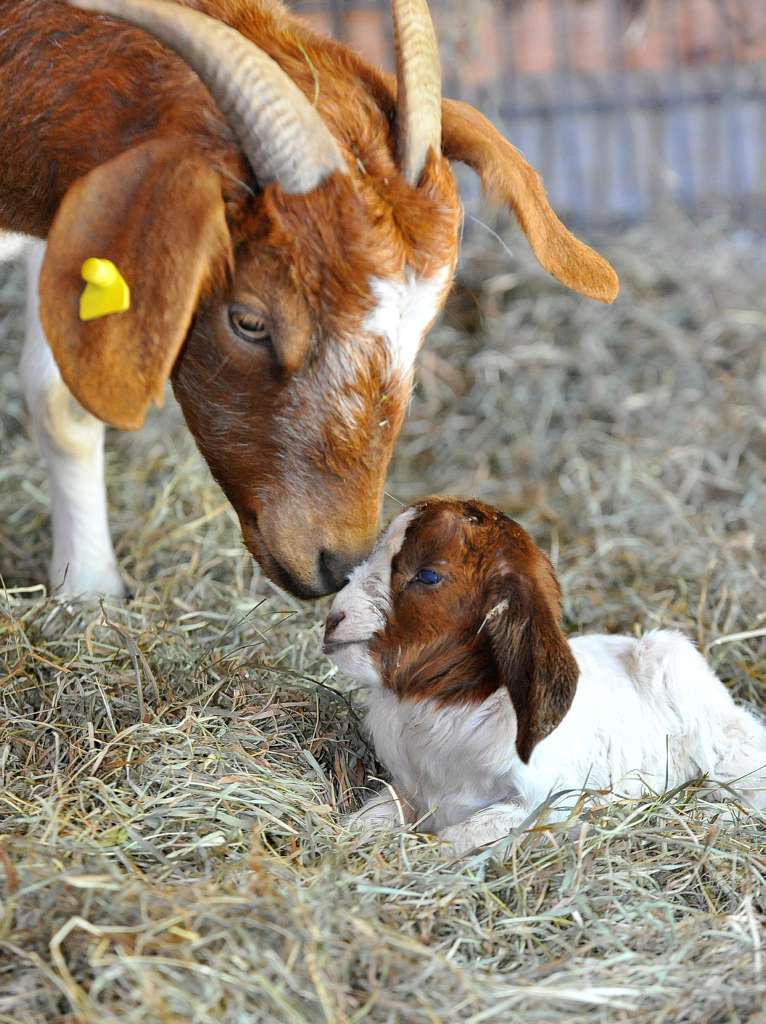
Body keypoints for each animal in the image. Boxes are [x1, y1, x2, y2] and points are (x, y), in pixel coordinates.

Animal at [323, 499, 766, 851]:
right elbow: (374, 815)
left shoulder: (544, 804)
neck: (449, 705)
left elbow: (459, 839)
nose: (333, 619)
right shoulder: (411, 788)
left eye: (428, 575)